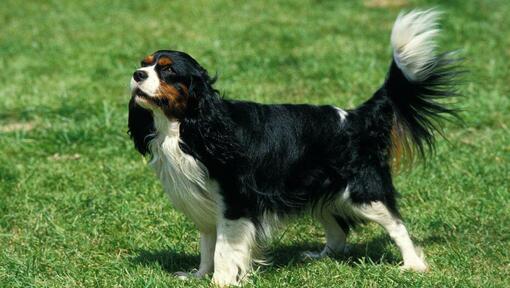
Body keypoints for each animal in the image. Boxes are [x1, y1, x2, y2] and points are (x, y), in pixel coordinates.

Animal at [126, 10, 458, 286]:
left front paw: (220, 281)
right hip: (319, 189)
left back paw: (413, 265)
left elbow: (223, 249)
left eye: (167, 71)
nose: (136, 75)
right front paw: (198, 276)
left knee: (397, 225)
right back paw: (322, 256)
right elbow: (208, 245)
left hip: (363, 192)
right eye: (144, 64)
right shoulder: (205, 204)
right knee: (337, 228)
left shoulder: (234, 203)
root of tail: (355, 117)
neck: (188, 128)